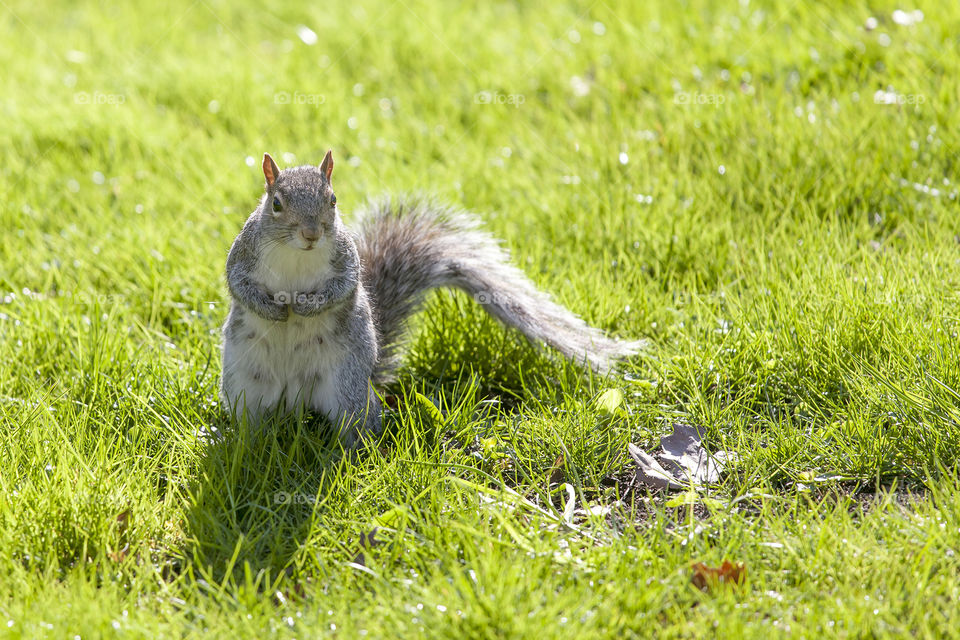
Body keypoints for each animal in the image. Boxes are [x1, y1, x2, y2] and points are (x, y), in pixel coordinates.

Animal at [220, 152, 640, 448]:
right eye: (276, 203)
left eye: (333, 199)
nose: (311, 234)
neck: (297, 254)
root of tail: (295, 402)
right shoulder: (242, 253)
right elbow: (237, 284)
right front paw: (272, 308)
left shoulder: (346, 260)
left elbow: (343, 288)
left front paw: (306, 306)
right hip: (245, 386)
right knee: (251, 422)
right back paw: (243, 446)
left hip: (347, 389)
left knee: (357, 426)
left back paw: (349, 456)